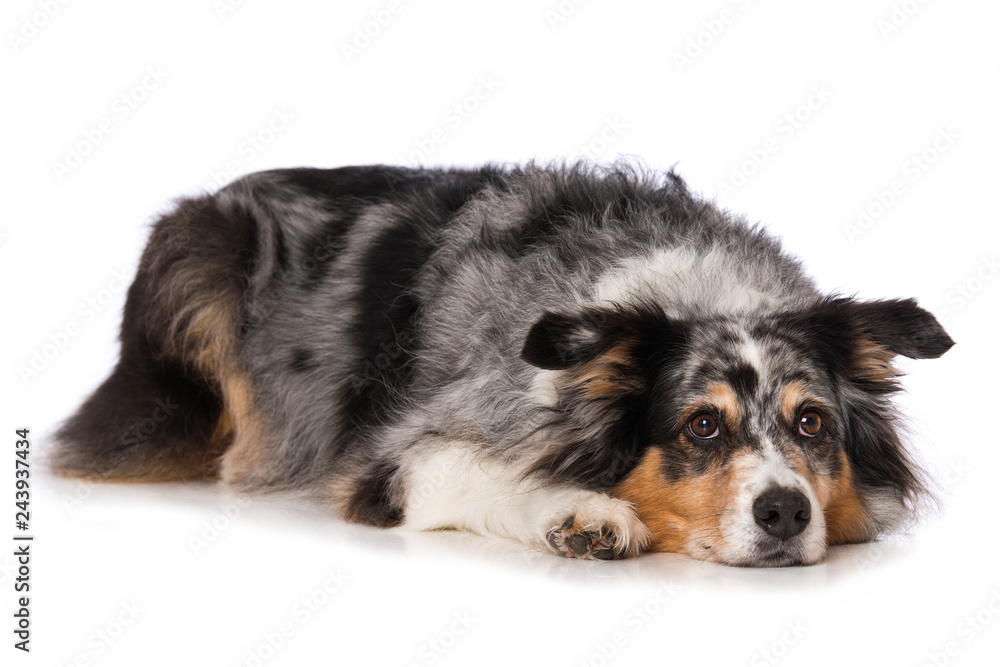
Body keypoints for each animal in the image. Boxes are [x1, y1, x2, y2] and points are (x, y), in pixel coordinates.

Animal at [52, 164, 952, 568]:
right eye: (702, 425)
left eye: (813, 422)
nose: (785, 512)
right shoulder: (396, 459)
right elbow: (485, 473)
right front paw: (582, 511)